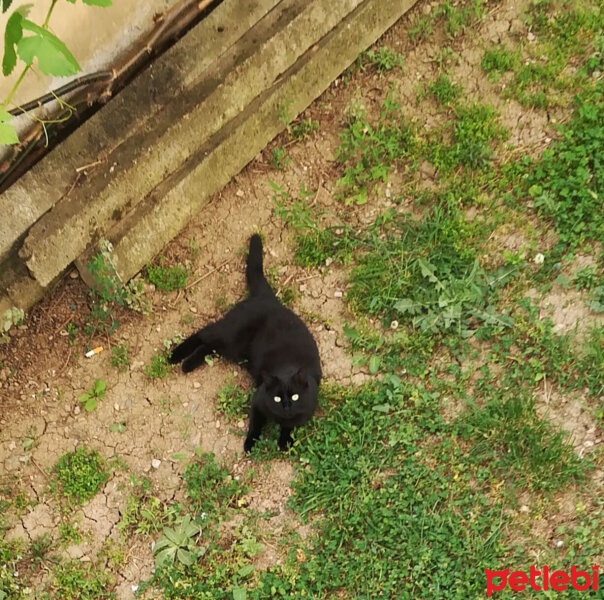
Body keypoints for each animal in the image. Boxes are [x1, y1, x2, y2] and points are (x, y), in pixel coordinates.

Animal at [168, 234, 320, 450]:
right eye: (277, 398)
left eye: (295, 397)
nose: (286, 405)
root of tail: (268, 298)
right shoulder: (257, 401)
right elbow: (256, 424)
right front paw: (250, 443)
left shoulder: (303, 411)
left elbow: (290, 425)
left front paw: (284, 441)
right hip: (230, 336)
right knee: (204, 334)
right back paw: (175, 356)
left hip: (235, 350)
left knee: (209, 346)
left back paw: (188, 364)